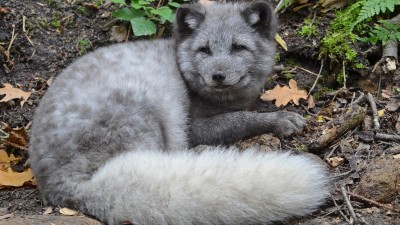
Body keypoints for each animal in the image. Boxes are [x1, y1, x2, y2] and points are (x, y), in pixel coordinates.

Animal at [29, 0, 330, 224]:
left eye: (238, 47)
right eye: (204, 50)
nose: (218, 76)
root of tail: (64, 184)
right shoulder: (194, 125)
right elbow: (241, 118)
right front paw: (279, 120)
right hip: (149, 115)